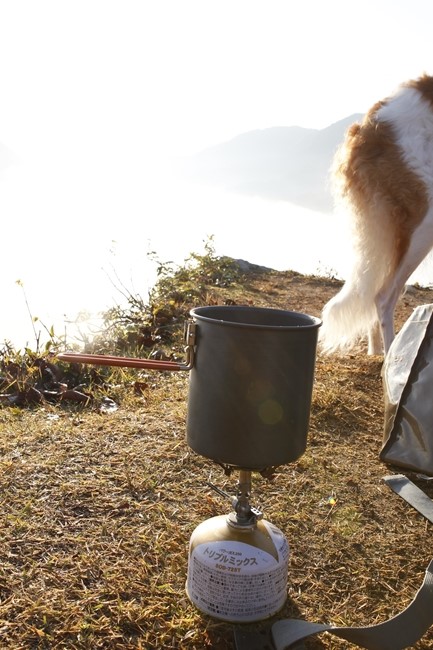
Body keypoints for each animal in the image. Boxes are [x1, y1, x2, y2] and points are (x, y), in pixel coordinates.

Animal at [318, 75, 432, 356]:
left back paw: (377, 351)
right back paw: (395, 359)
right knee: (382, 296)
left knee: (375, 292)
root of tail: (369, 123)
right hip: (424, 221)